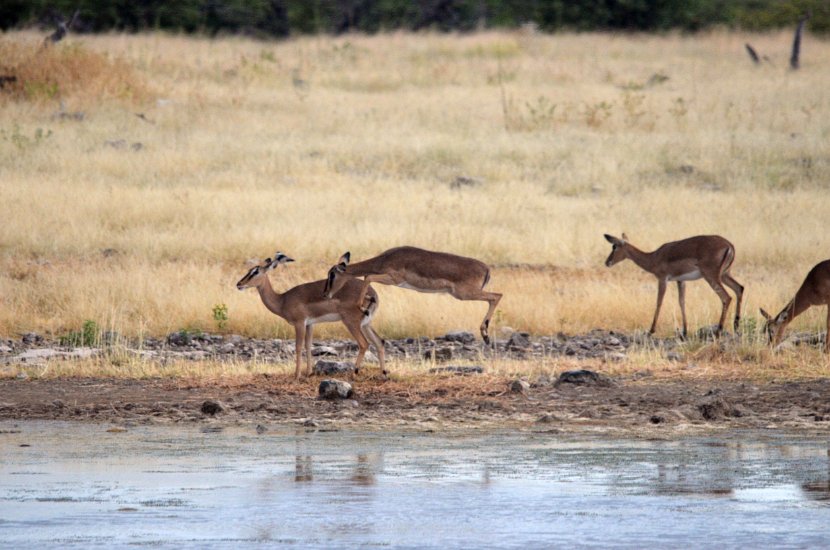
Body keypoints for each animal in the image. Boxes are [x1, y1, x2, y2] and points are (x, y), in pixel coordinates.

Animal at [236, 253, 386, 379]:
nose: (239, 284)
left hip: (351, 322)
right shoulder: (310, 324)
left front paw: (296, 375)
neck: (282, 300)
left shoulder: (299, 323)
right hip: (366, 324)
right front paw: (309, 372)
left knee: (364, 344)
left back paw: (353, 374)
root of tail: (373, 294)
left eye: (255, 271)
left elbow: (298, 347)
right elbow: (308, 345)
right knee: (379, 342)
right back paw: (383, 374)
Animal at [322, 246, 502, 344]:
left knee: (497, 295)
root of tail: (486, 268)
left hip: (464, 294)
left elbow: (368, 277)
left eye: (332, 275)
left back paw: (485, 335)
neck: (385, 259)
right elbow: (367, 277)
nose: (325, 294)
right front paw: (369, 300)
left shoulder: (394, 279)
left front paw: (363, 307)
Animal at [604, 234, 744, 338]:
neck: (653, 257)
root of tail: (729, 245)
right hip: (724, 275)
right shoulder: (681, 281)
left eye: (614, 246)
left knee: (726, 297)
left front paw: (651, 330)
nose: (607, 262)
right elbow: (681, 302)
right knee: (739, 288)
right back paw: (736, 327)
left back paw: (718, 331)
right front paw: (684, 331)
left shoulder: (662, 279)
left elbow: (659, 302)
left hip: (712, 276)